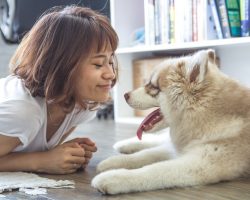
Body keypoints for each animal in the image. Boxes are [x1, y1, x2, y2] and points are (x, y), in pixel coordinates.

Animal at [91, 49, 250, 195]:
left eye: (153, 87)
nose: (125, 95)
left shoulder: (200, 163)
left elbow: (154, 169)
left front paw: (113, 178)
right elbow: (145, 155)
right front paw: (112, 162)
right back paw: (124, 144)